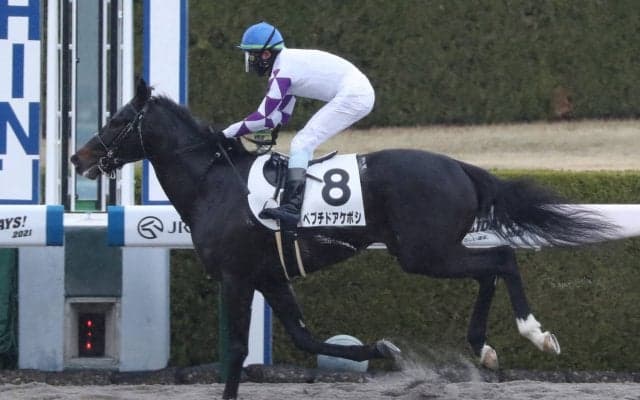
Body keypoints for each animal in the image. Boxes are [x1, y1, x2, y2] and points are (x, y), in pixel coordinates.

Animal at [71, 78, 614, 399]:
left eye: (119, 120)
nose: (79, 158)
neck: (214, 182)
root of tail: (458, 166)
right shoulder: (270, 276)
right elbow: (304, 336)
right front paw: (384, 351)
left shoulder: (236, 276)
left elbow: (237, 350)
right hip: (429, 250)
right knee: (491, 268)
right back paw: (483, 347)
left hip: (423, 252)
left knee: (500, 259)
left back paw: (533, 333)